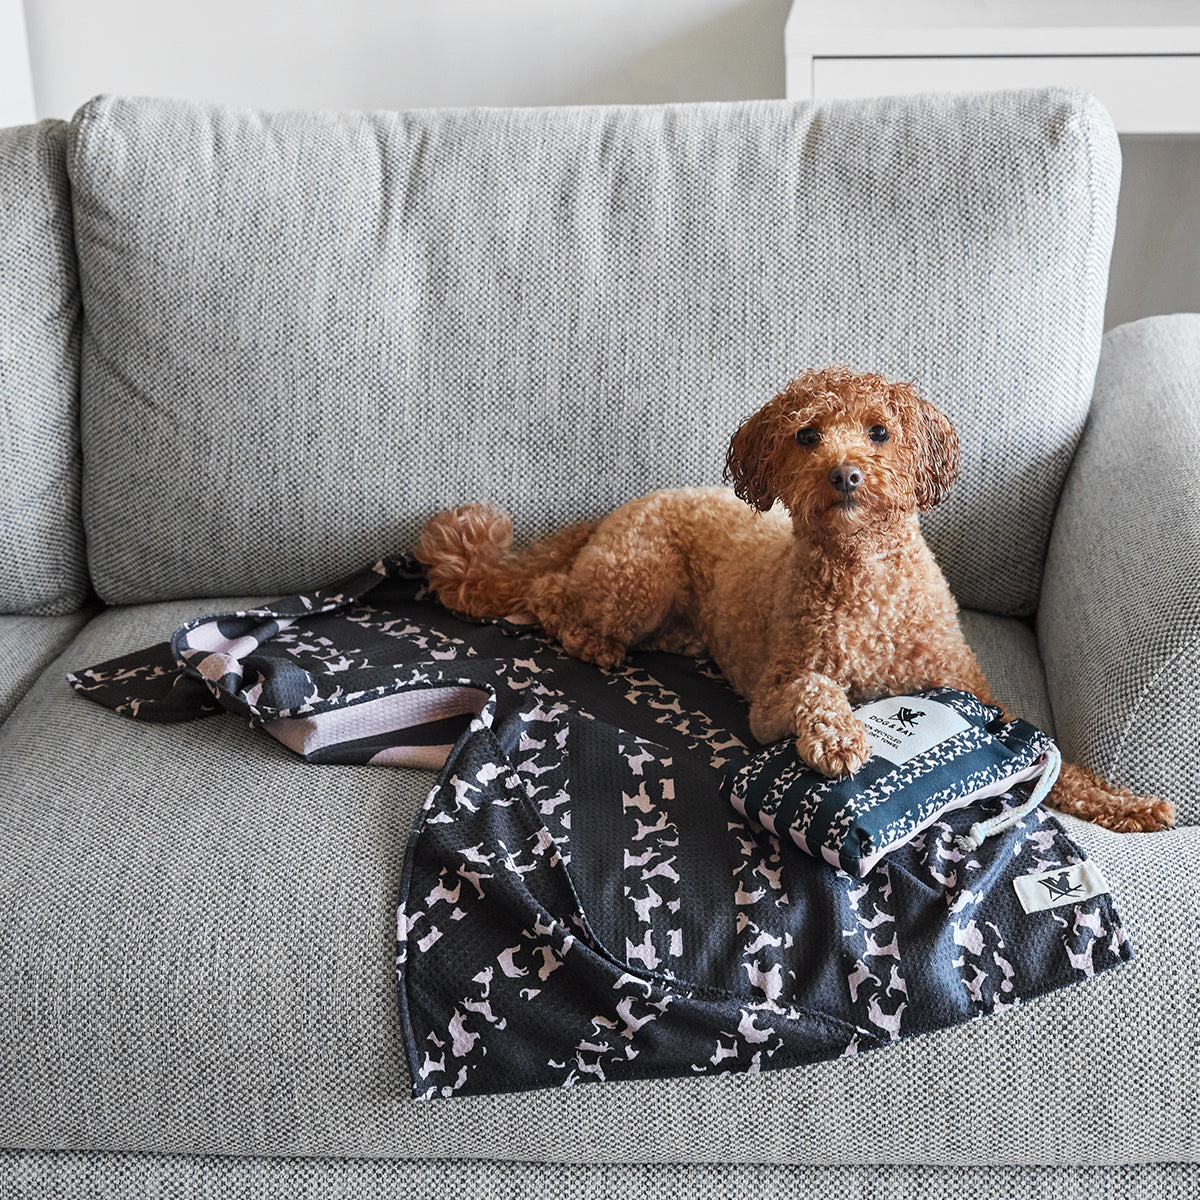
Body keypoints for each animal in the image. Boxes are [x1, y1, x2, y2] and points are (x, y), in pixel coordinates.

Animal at [417, 364, 1176, 835]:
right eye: (806, 435)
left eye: (879, 431)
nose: (843, 474)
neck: (866, 582)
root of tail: (618, 510)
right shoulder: (773, 696)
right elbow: (818, 689)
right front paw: (840, 738)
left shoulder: (976, 695)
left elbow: (1062, 763)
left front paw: (1125, 803)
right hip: (638, 577)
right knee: (551, 595)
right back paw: (591, 641)